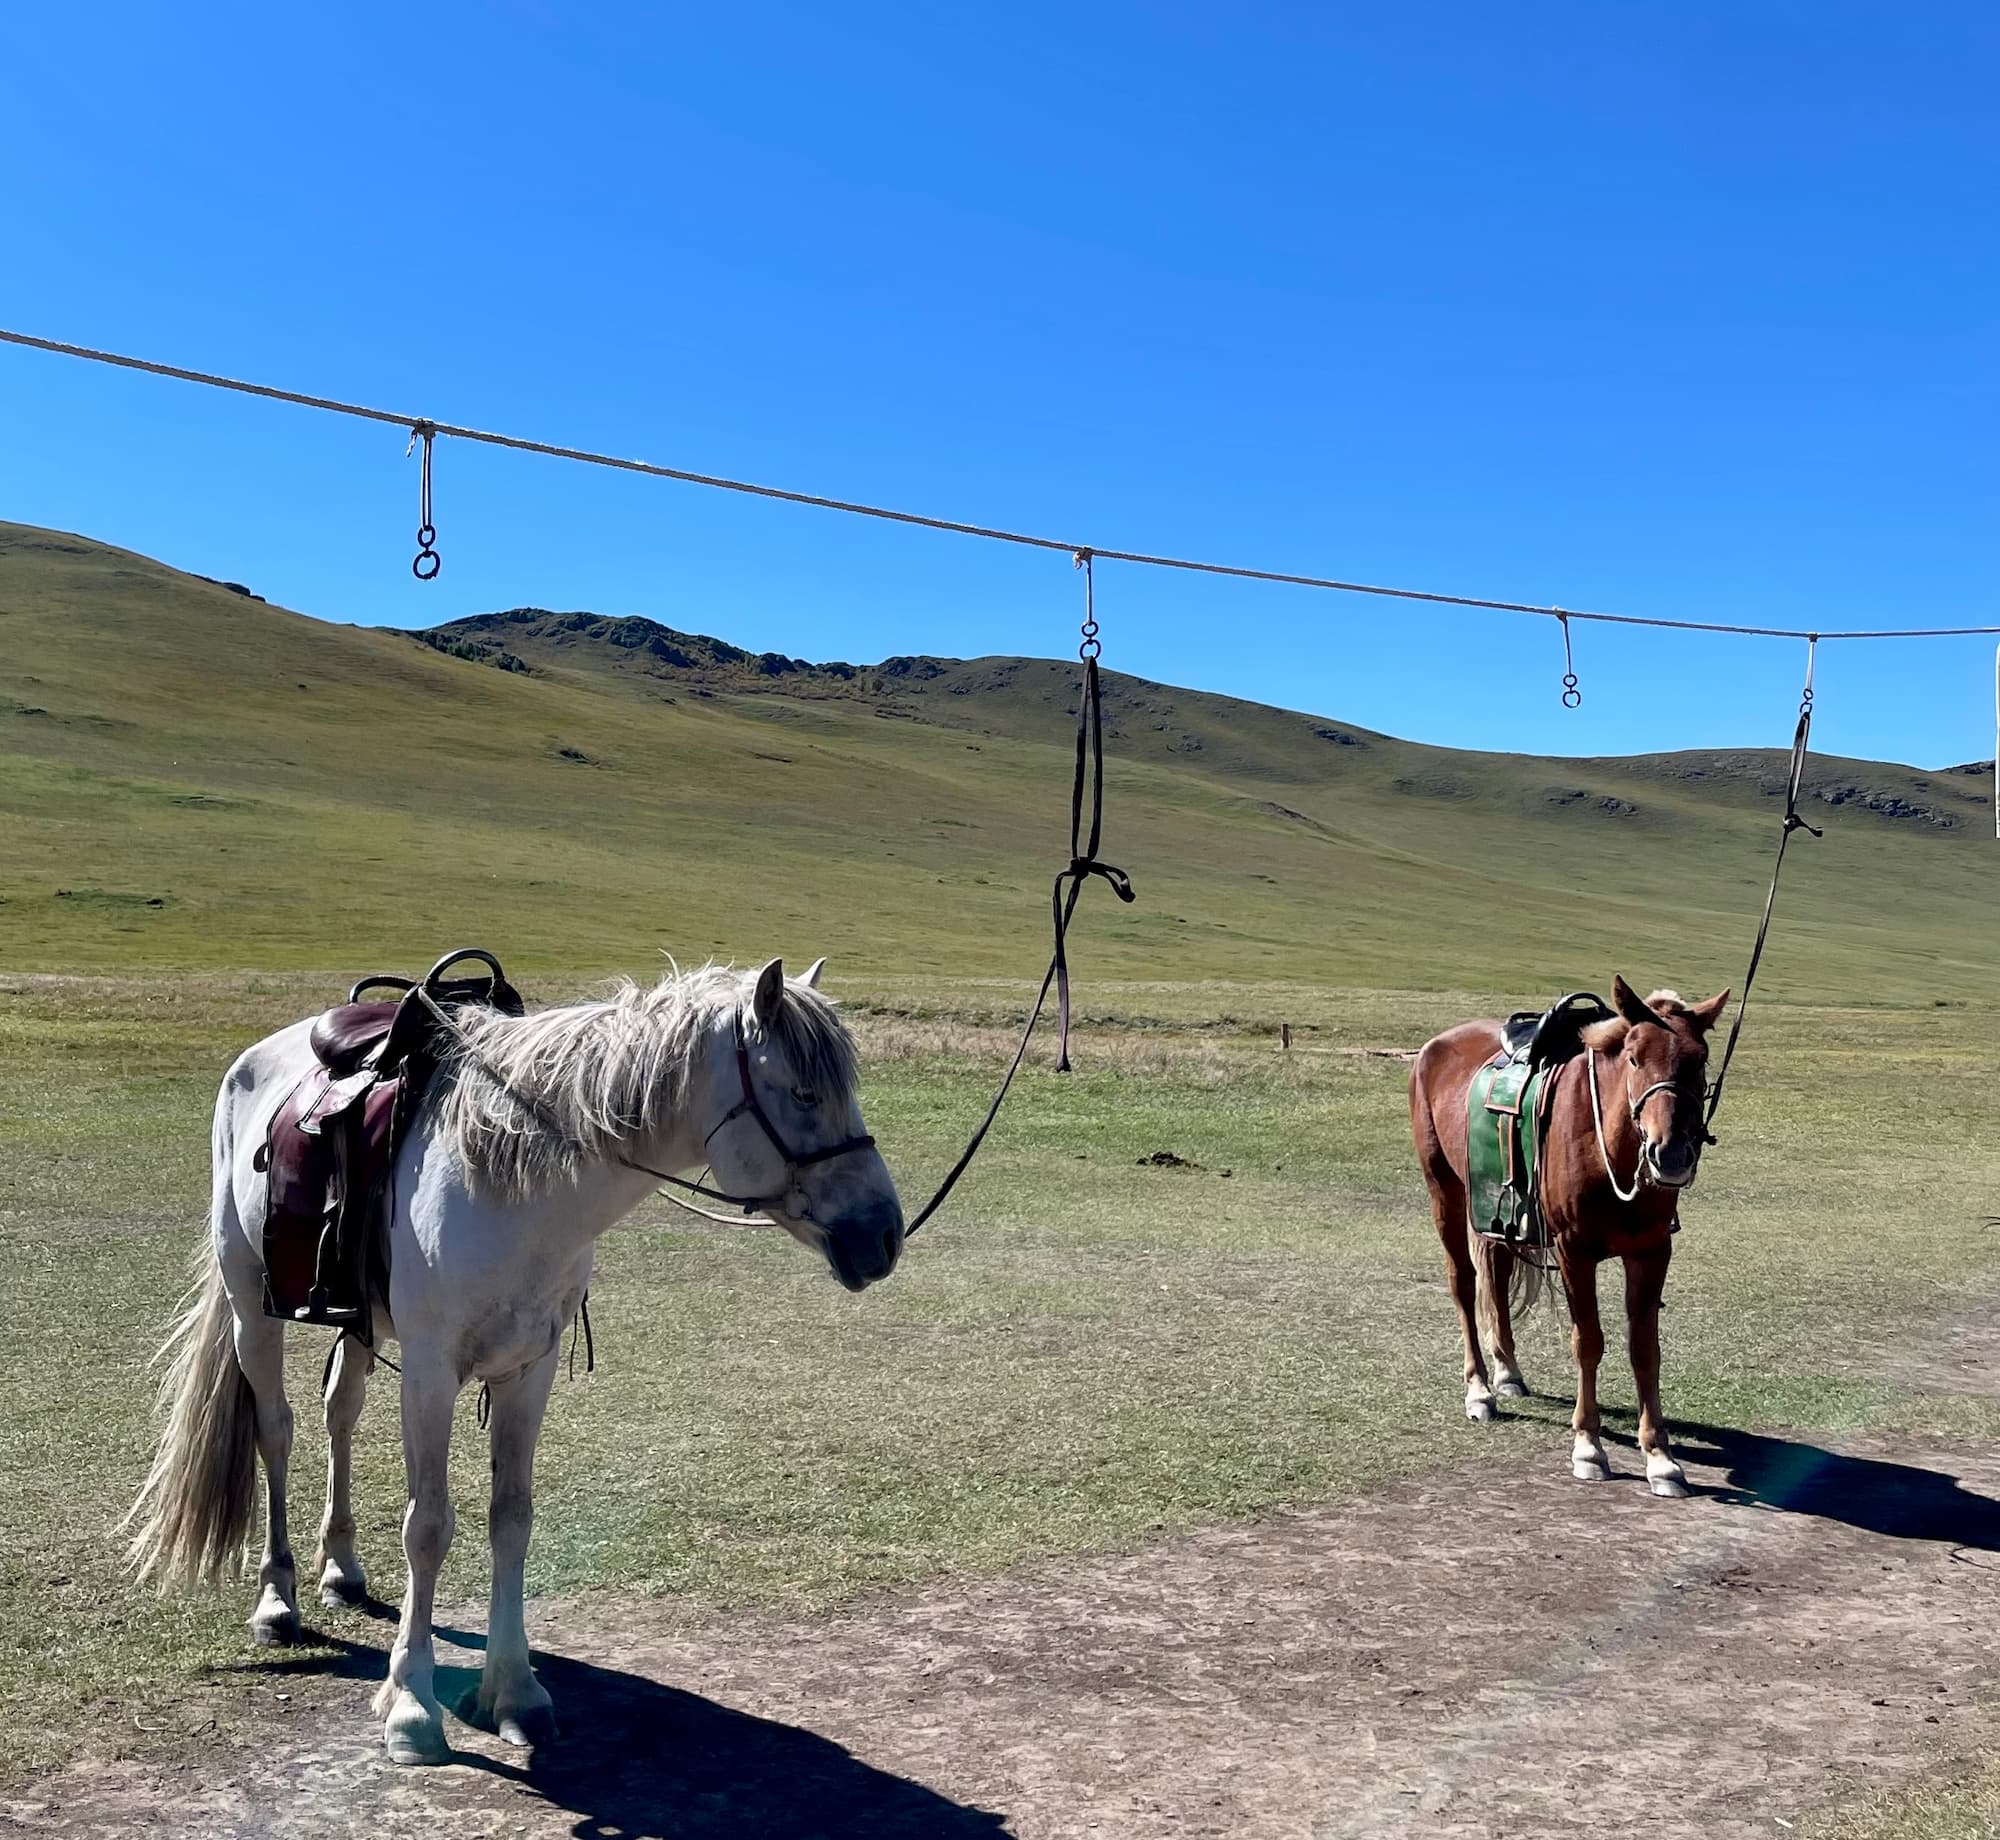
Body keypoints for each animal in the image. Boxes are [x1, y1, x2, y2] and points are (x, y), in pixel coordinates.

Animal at [121, 956, 904, 1760]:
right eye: (804, 1093)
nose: (884, 1234)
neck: (517, 1185)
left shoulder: (532, 1369)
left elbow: (511, 1518)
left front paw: (515, 1690)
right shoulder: (431, 1375)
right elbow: (428, 1528)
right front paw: (413, 1704)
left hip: (360, 1324)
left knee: (341, 1410)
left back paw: (341, 1567)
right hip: (251, 1307)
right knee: (276, 1430)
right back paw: (277, 1599)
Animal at [1408, 976, 1736, 1496]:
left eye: (1699, 1058)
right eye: (1634, 1057)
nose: (1670, 1154)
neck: (1612, 1151)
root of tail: (1434, 1047)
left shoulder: (1652, 1252)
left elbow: (1645, 1348)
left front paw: (1660, 1458)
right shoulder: (1573, 1251)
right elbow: (1588, 1343)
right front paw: (1588, 1446)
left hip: (1498, 1212)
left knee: (1495, 1276)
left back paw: (1507, 1371)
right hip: (1445, 1190)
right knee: (1463, 1284)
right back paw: (1479, 1390)